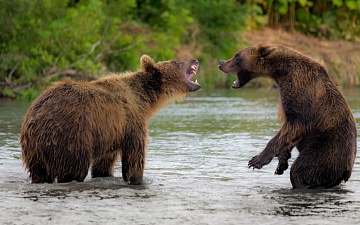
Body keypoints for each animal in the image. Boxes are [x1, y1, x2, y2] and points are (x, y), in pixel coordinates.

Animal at [19, 54, 201, 185]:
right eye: (175, 61)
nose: (194, 59)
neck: (145, 99)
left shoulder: (111, 132)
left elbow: (104, 164)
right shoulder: (131, 121)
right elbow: (134, 156)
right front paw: (136, 179)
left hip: (34, 152)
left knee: (39, 174)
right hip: (70, 137)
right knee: (74, 169)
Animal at [219, 43, 358, 189]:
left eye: (237, 56)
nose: (221, 62)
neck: (282, 73)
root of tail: (347, 171)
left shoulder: (301, 93)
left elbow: (294, 125)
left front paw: (255, 160)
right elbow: (289, 133)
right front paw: (281, 163)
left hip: (327, 149)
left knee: (302, 170)